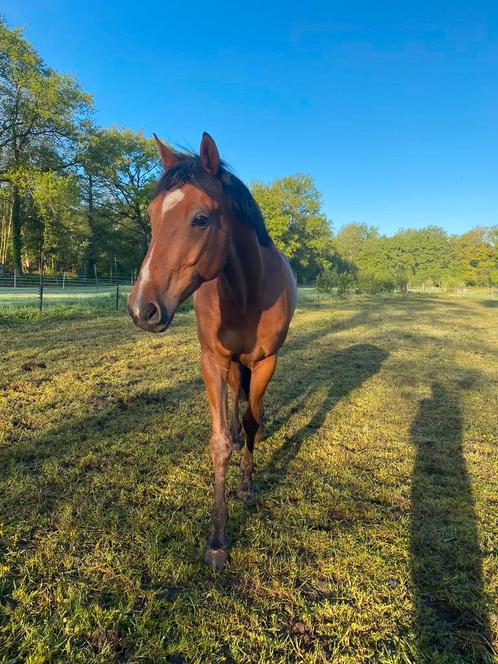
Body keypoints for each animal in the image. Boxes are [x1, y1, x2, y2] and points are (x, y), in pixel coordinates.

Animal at [127, 132, 296, 568]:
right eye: (152, 215)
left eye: (201, 219)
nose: (142, 309)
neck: (247, 291)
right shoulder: (212, 361)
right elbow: (219, 441)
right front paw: (218, 538)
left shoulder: (267, 362)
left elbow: (253, 419)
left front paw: (247, 485)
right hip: (231, 363)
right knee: (236, 399)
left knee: (250, 407)